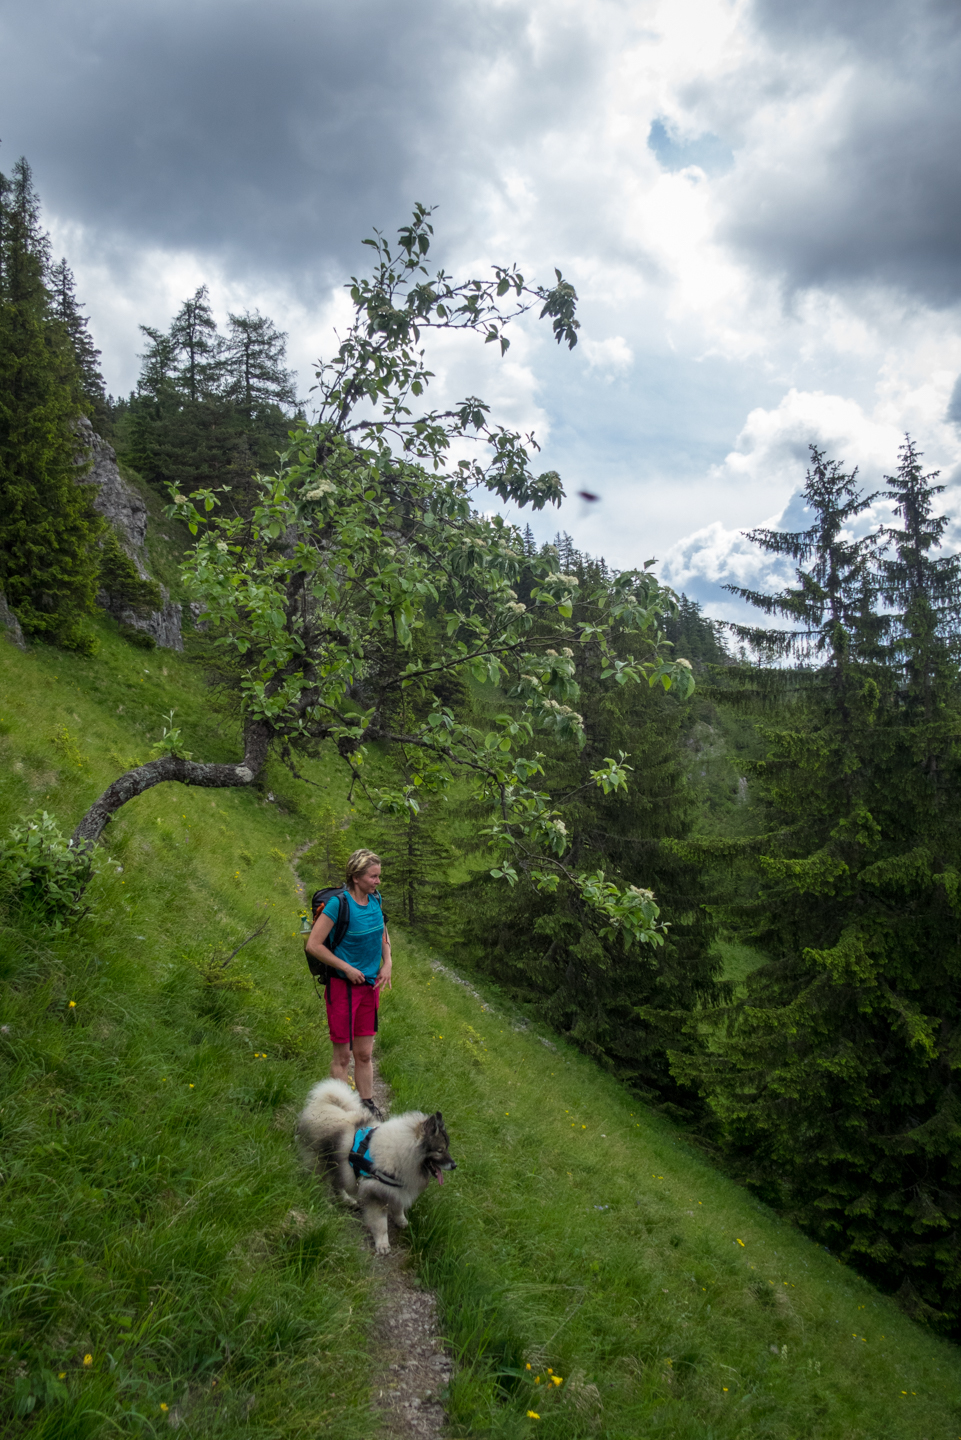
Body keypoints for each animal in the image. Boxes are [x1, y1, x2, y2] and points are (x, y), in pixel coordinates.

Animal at [295, 1077, 458, 1255]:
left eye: (447, 1148)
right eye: (440, 1150)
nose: (454, 1165)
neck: (402, 1152)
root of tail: (322, 1104)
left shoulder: (398, 1189)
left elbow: (399, 1208)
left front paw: (401, 1221)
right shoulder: (376, 1194)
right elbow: (380, 1224)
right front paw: (382, 1244)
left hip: (339, 1165)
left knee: (338, 1184)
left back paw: (347, 1199)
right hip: (321, 1163)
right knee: (321, 1184)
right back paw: (327, 1203)